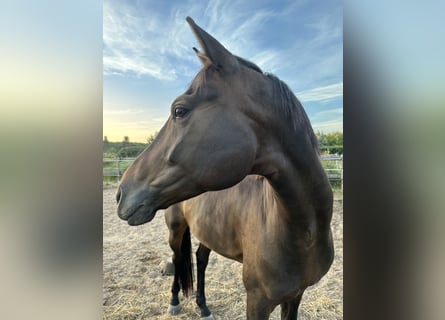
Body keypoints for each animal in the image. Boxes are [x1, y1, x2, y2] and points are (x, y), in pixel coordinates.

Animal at [116, 16, 332, 318]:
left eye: (179, 110)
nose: (121, 193)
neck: (303, 231)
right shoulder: (257, 301)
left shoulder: (295, 296)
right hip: (175, 230)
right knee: (178, 258)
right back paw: (174, 302)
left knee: (200, 259)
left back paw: (203, 306)